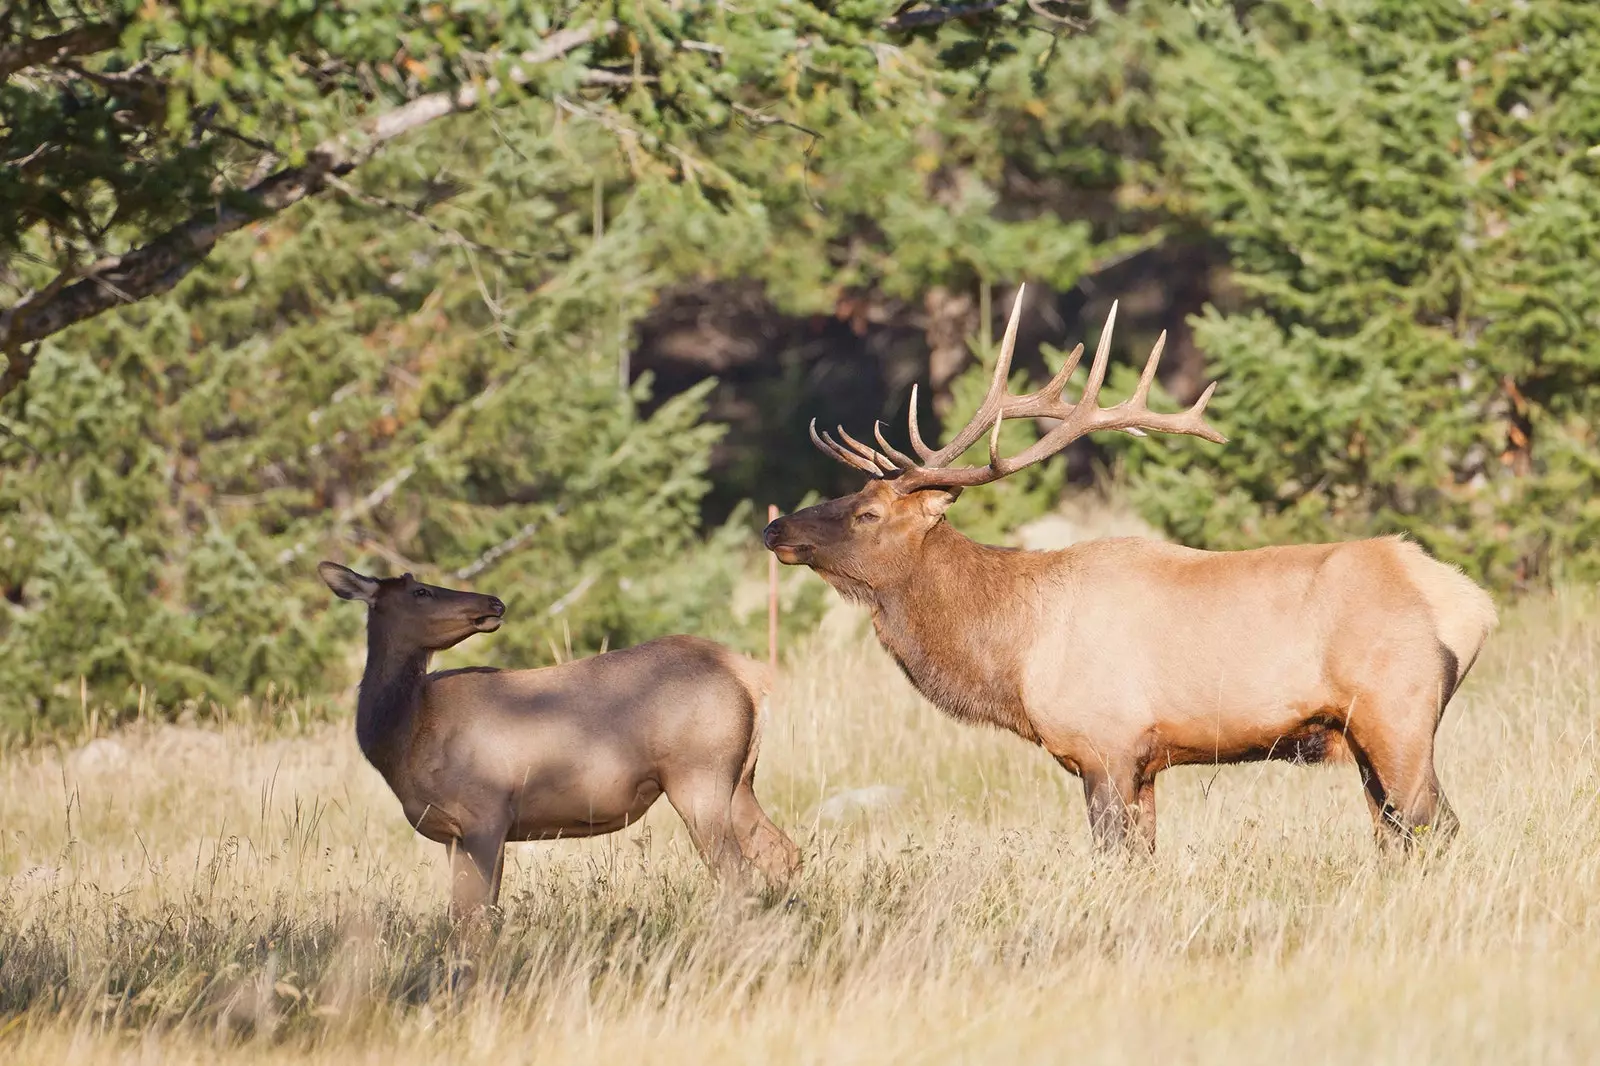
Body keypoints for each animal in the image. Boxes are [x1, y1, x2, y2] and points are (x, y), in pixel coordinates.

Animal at [316, 557, 800, 915]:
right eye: (421, 591)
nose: (494, 602)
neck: (406, 734)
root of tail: (749, 674)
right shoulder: (454, 833)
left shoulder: (486, 811)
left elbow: (480, 915)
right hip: (739, 779)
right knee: (781, 851)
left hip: (699, 773)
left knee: (736, 872)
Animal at [761, 286, 1497, 851]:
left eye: (867, 513)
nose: (776, 527)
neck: (1014, 652)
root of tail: (1473, 603)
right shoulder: (1144, 767)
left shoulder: (1106, 747)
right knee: (1394, 833)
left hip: (1397, 713)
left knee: (1437, 827)